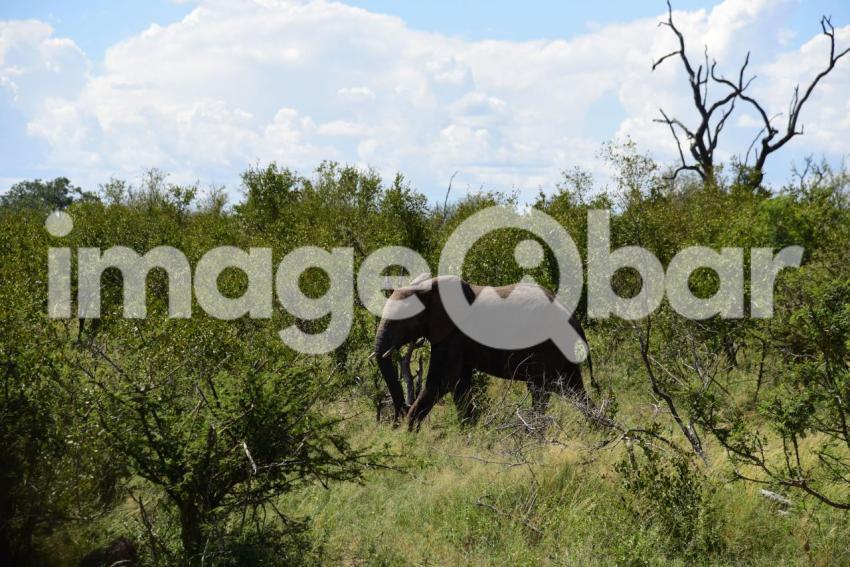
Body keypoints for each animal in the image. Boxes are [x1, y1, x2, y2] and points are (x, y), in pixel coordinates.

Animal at [373, 274, 594, 430]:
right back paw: (598, 431)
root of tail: (575, 322)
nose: (400, 413)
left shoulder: (453, 334)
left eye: (403, 319)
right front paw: (468, 435)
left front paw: (408, 435)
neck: (427, 288)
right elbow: (460, 384)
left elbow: (442, 381)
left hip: (546, 347)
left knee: (541, 389)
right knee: (572, 388)